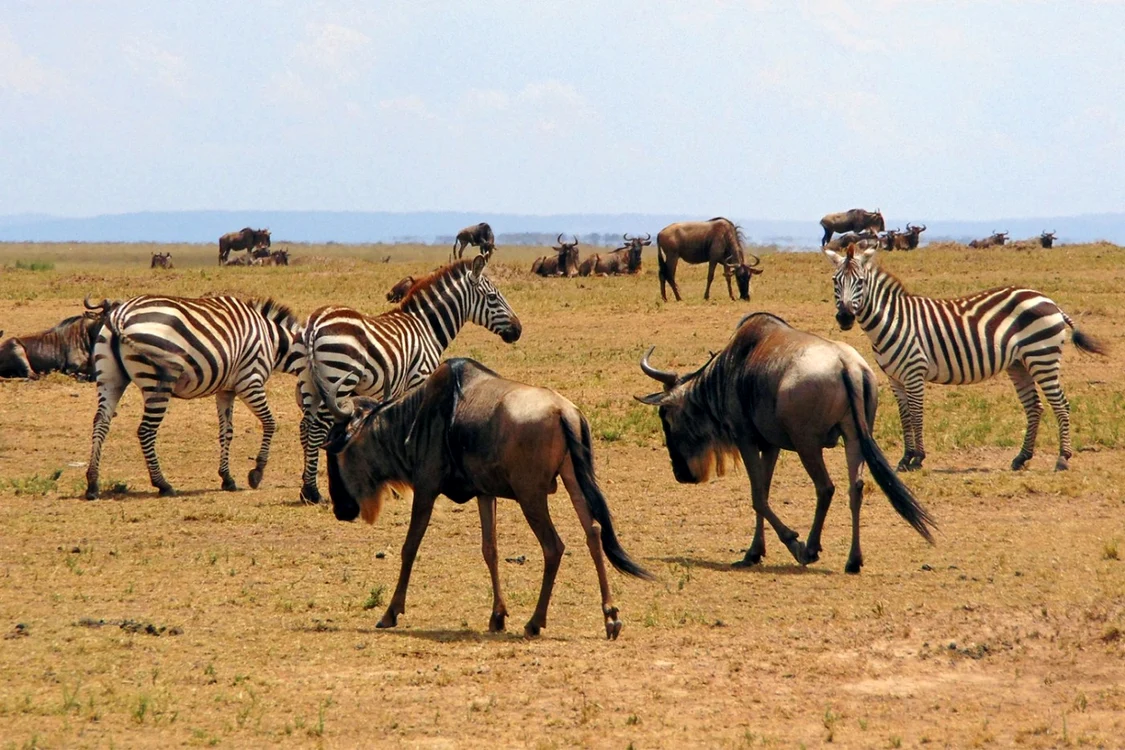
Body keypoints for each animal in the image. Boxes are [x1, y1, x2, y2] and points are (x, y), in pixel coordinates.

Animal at [84, 295, 305, 500]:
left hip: (109, 378)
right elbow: (270, 422)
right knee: (145, 431)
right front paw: (257, 472)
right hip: (157, 381)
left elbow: (226, 432)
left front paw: (227, 478)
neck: (273, 342)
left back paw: (93, 484)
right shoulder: (250, 380)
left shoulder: (226, 390)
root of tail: (120, 314)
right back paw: (163, 484)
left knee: (101, 422)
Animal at [297, 254, 522, 504]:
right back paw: (312, 492)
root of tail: (315, 322)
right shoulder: (420, 377)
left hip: (310, 383)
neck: (427, 327)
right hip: (338, 378)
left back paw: (306, 487)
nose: (518, 330)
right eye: (493, 297)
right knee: (317, 428)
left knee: (306, 427)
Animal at [825, 244, 1107, 472]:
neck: (892, 320)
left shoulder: (914, 371)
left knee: (1061, 405)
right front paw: (905, 459)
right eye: (835, 281)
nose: (845, 317)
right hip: (1019, 364)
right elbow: (905, 416)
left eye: (860, 282)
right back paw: (1021, 458)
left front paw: (917, 458)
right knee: (1034, 406)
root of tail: (1049, 300)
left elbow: (916, 413)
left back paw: (1062, 459)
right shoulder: (895, 378)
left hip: (1042, 357)